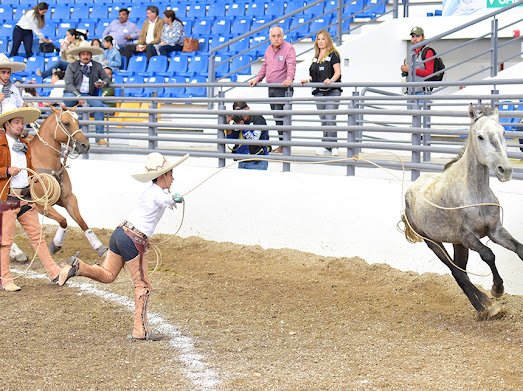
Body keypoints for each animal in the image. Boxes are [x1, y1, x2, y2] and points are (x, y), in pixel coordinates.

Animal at [10, 105, 108, 262]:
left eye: (78, 122)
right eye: (66, 123)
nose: (85, 145)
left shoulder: (69, 198)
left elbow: (82, 222)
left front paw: (100, 247)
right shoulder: (40, 205)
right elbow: (63, 220)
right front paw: (55, 245)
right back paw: (16, 252)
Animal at [406, 104, 523, 318]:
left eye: (503, 132)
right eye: (480, 136)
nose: (505, 170)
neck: (475, 193)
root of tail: (410, 190)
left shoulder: (495, 231)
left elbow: (519, 249)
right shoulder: (469, 237)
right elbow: (488, 254)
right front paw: (497, 290)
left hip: (458, 244)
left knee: (461, 271)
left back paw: (483, 306)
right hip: (433, 242)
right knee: (457, 272)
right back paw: (487, 307)